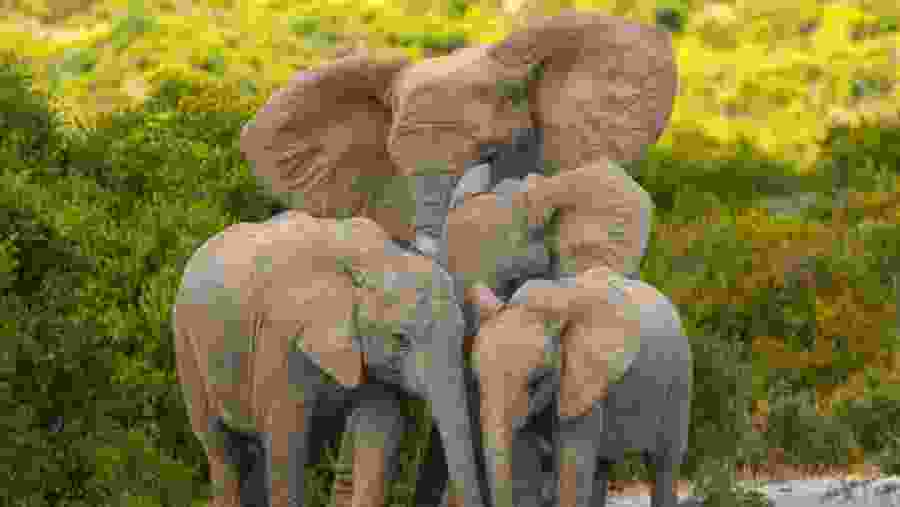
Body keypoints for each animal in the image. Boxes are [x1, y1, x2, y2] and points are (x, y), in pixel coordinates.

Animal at [171, 211, 488, 507]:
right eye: (400, 339)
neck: (374, 259)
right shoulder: (281, 339)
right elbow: (286, 442)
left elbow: (379, 430)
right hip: (185, 340)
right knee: (220, 449)